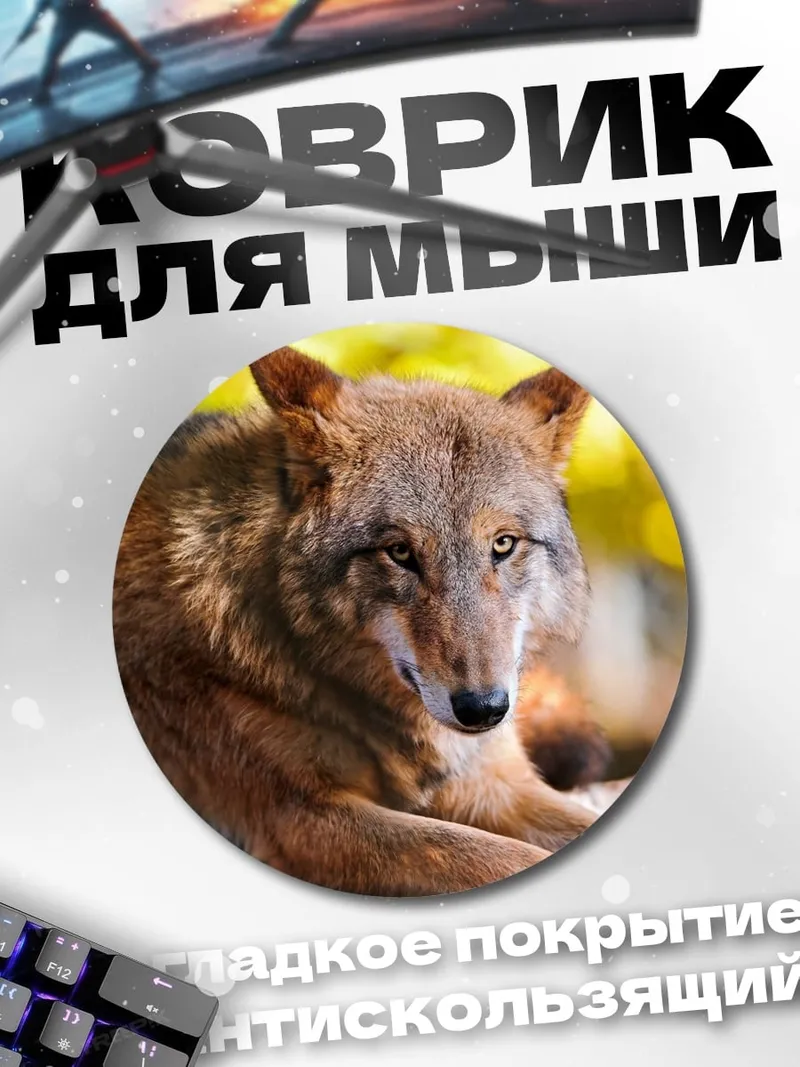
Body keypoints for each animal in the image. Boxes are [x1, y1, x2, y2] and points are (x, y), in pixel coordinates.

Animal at [113, 347, 611, 896]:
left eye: (503, 544)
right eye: (400, 552)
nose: (483, 710)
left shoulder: (491, 784)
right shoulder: (304, 819)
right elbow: (505, 858)